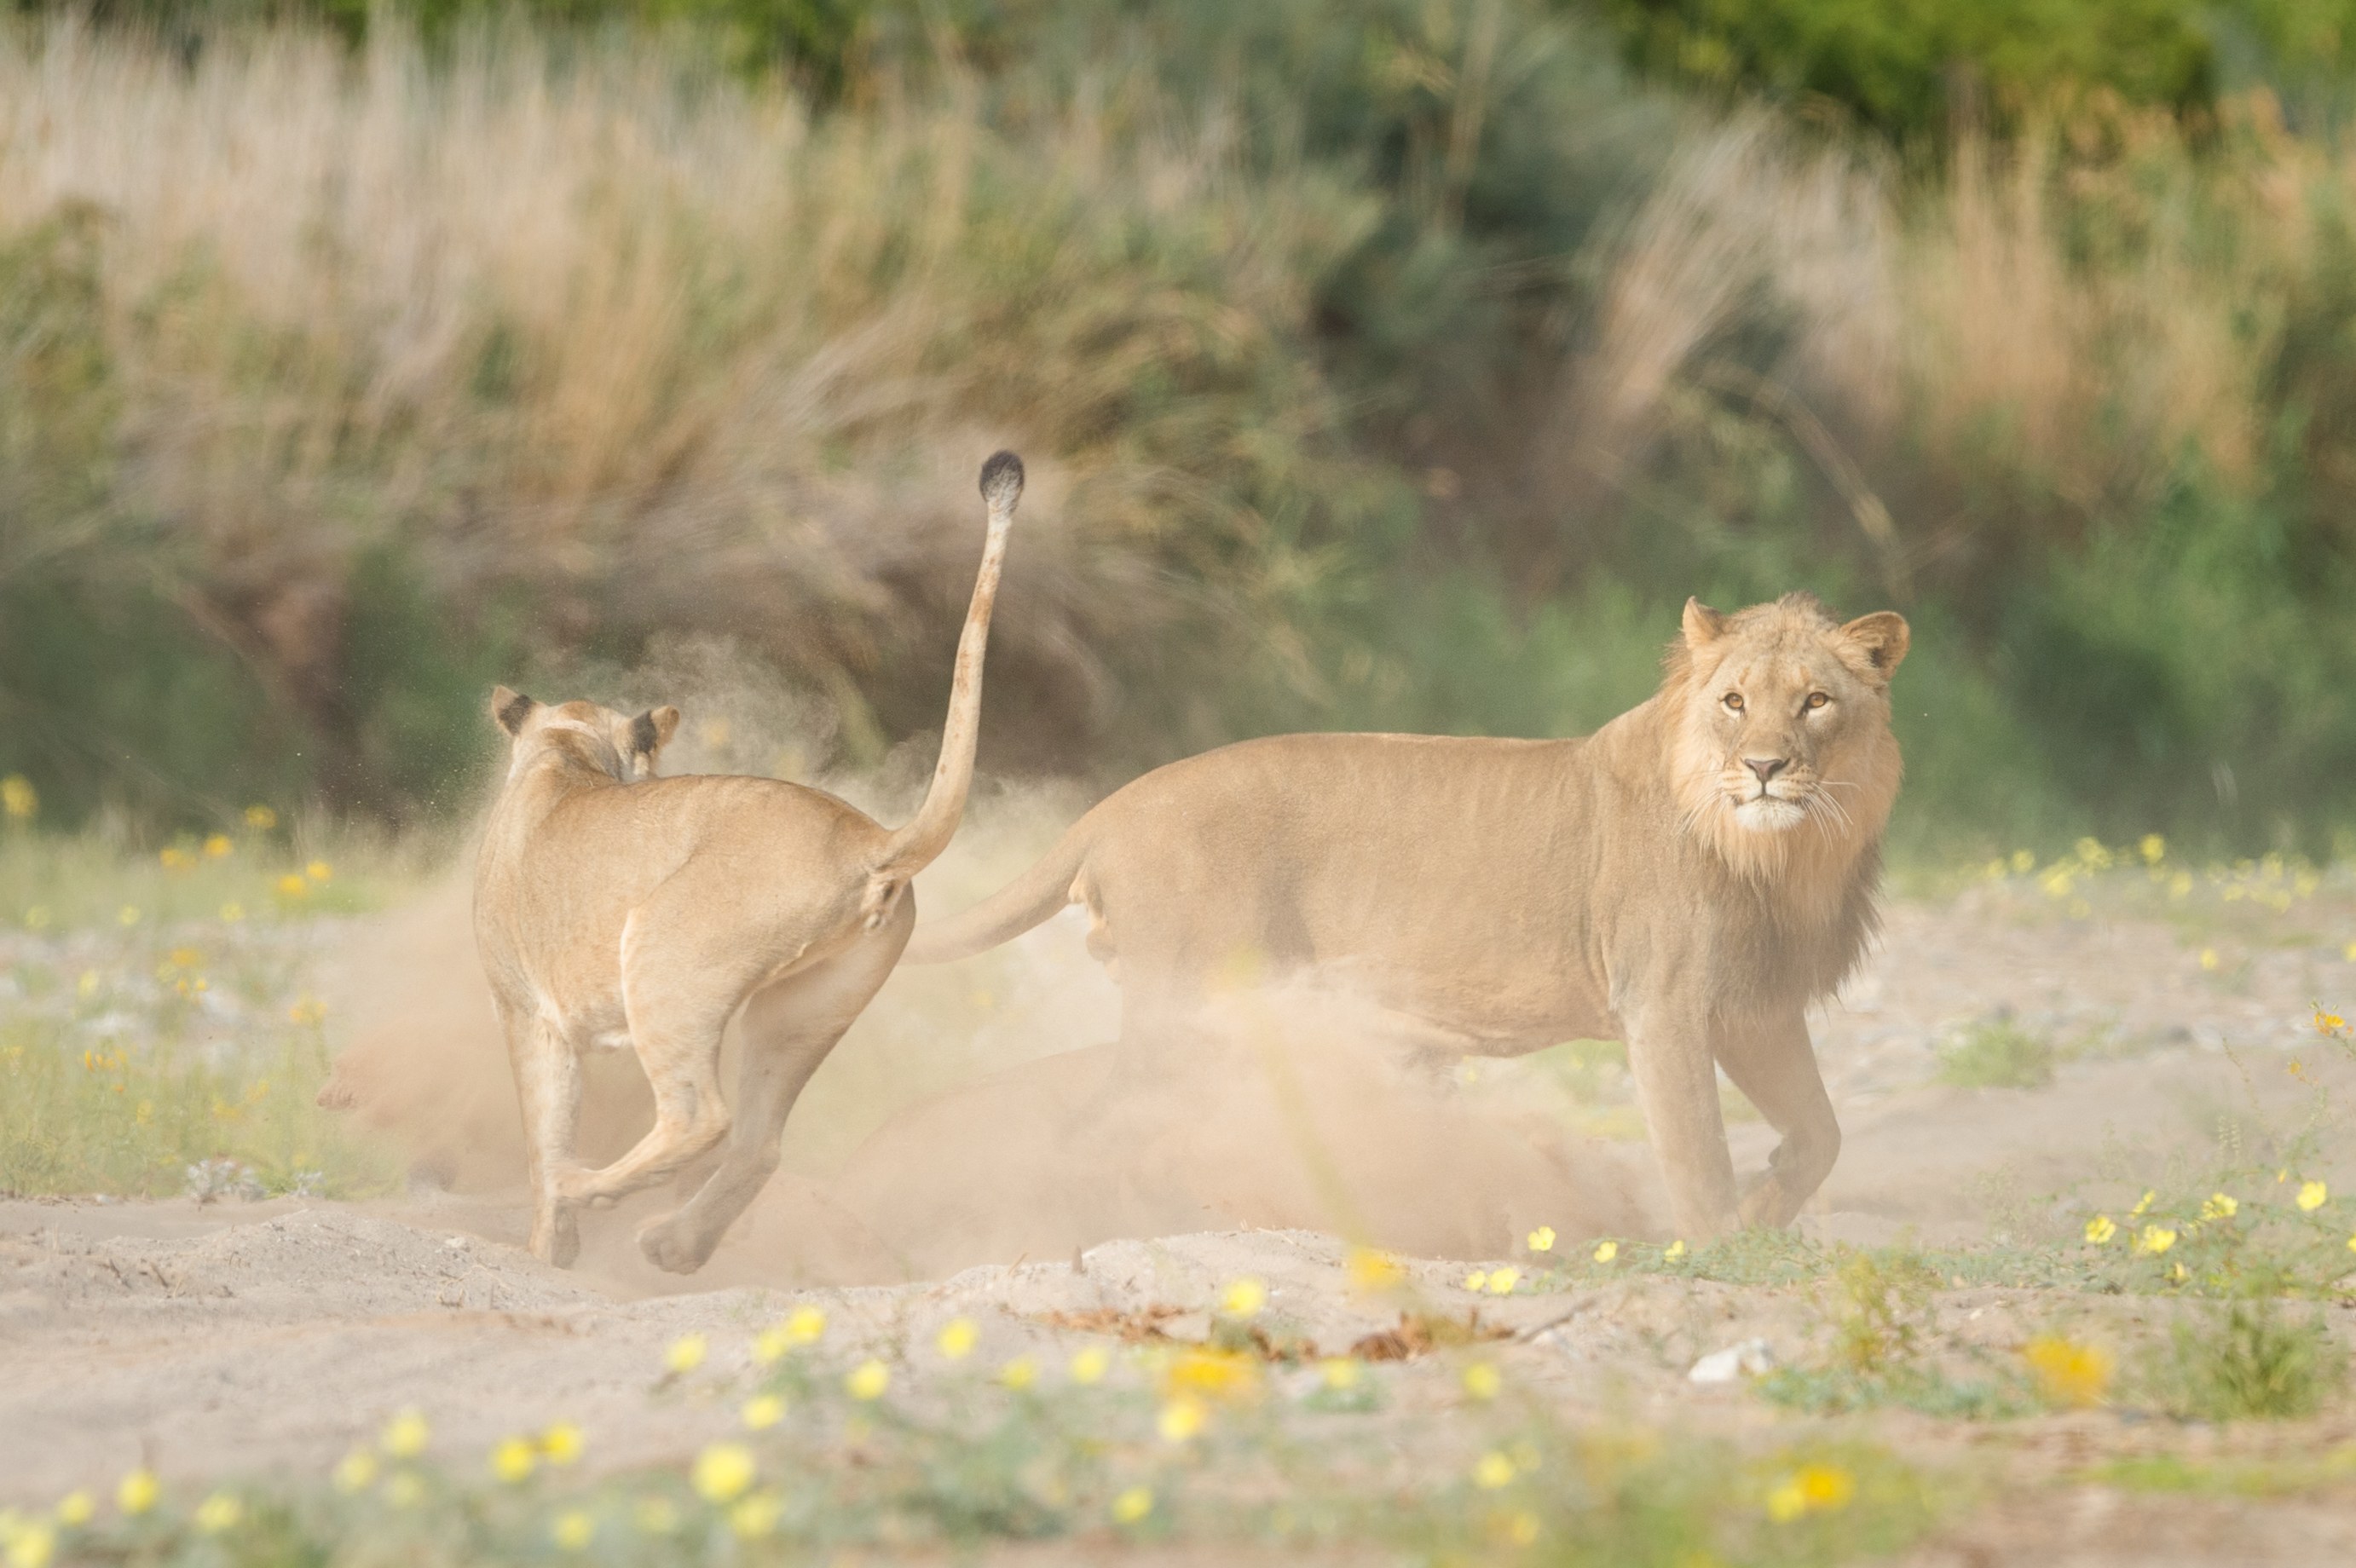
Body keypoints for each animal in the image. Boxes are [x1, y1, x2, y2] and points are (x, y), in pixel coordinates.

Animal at [473, 451, 1024, 1272]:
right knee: (760, 1142)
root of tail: (864, 838)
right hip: (802, 1008)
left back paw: (593, 1190)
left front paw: (547, 1244)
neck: (569, 754)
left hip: (665, 962)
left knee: (700, 1116)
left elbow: (544, 1131)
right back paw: (673, 1245)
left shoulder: (525, 1007)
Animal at [903, 592, 1908, 1241]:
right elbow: (1695, 1153)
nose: (1767, 768)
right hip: (1180, 1007)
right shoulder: (1662, 1003)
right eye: (1734, 701)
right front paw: (1720, 1253)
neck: (1783, 856)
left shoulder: (1755, 1009)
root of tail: (1108, 809)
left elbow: (1822, 1134)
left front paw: (1767, 1211)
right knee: (1098, 1127)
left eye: (1816, 701)